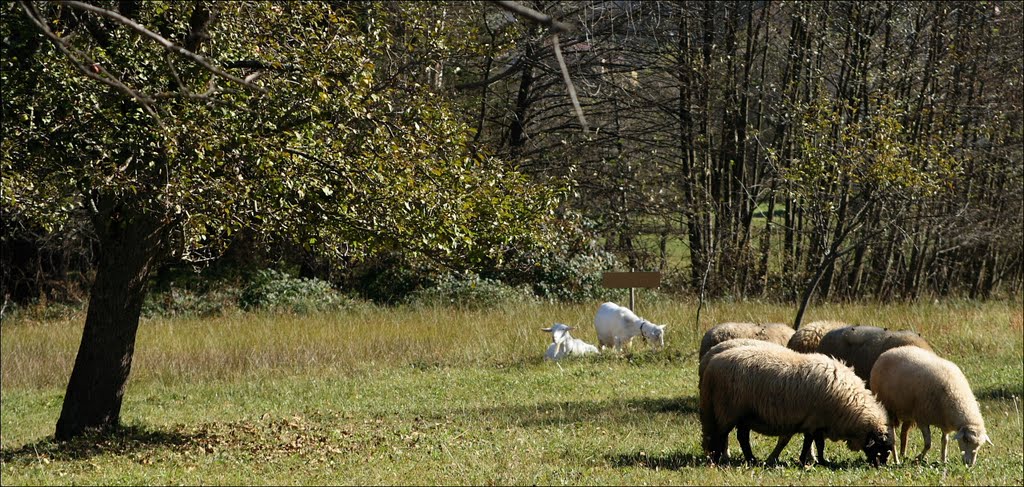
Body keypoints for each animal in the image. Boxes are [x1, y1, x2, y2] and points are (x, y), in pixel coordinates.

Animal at [700, 339, 892, 466]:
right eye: (880, 448)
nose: (880, 466)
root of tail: (713, 364)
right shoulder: (815, 420)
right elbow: (813, 442)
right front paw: (811, 461)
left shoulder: (816, 421)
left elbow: (814, 443)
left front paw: (817, 460)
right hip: (728, 409)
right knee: (721, 435)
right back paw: (719, 459)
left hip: (744, 413)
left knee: (741, 437)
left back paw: (750, 459)